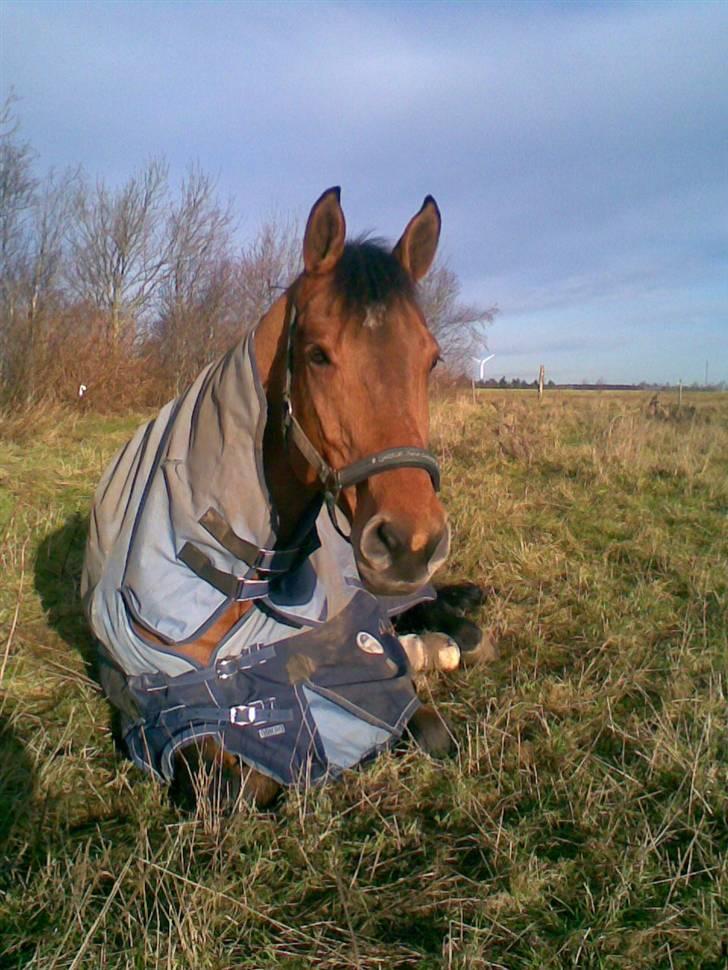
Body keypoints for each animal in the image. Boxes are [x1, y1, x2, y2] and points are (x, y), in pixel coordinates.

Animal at [82, 189, 486, 808]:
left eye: (431, 358)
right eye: (317, 354)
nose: (410, 543)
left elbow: (425, 722)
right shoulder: (168, 714)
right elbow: (232, 784)